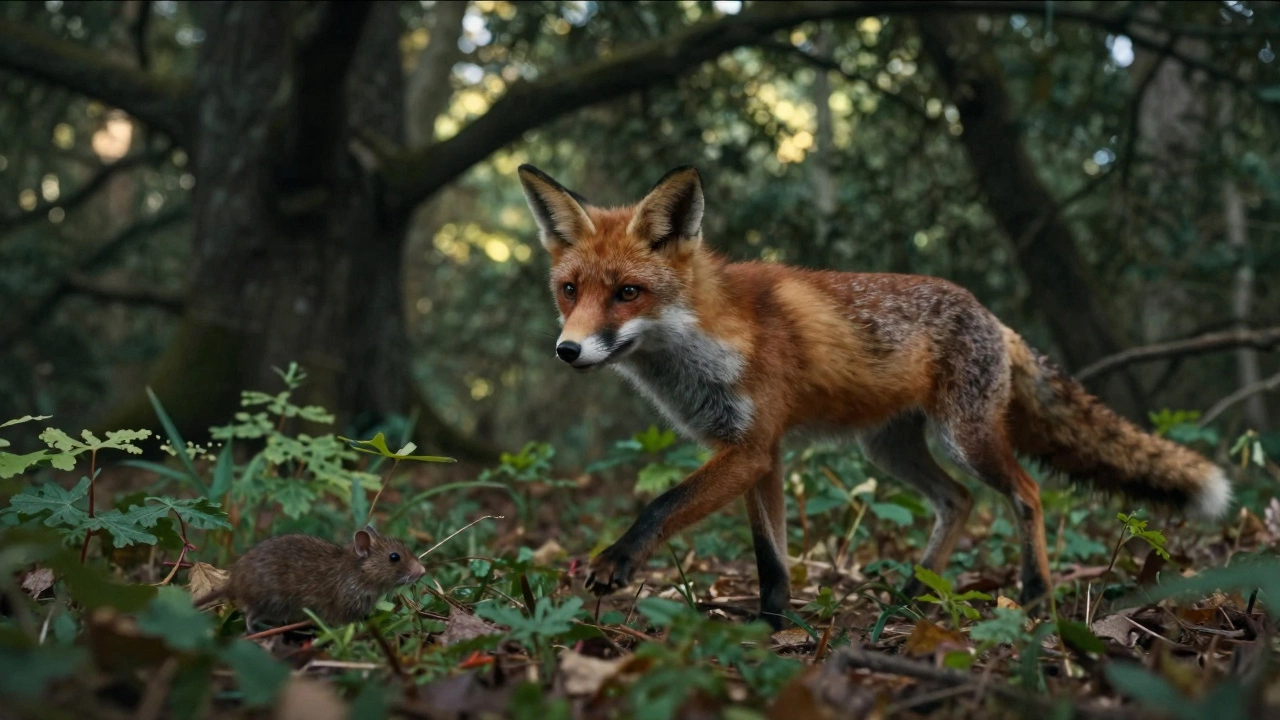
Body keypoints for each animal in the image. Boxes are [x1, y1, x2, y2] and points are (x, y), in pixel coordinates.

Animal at [517, 163, 1232, 629]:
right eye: (570, 291)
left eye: (628, 293)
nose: (567, 351)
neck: (704, 338)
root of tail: (995, 318)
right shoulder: (754, 452)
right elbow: (771, 559)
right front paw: (772, 625)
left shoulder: (750, 447)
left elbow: (662, 504)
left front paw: (617, 561)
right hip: (889, 450)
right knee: (959, 501)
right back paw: (913, 593)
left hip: (965, 439)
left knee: (1026, 493)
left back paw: (1034, 597)